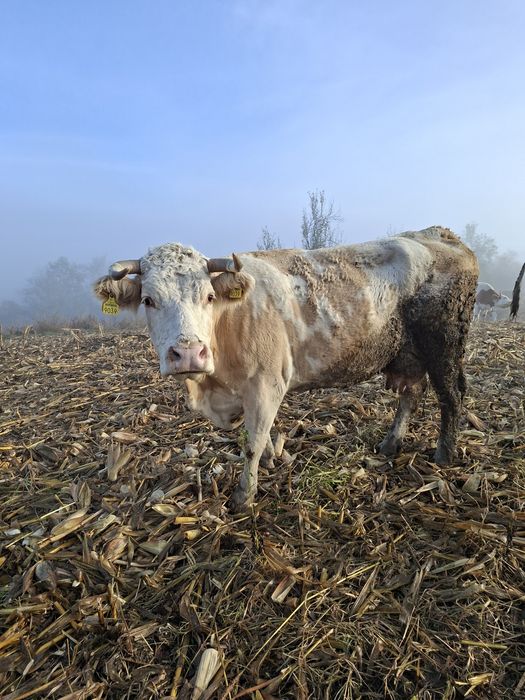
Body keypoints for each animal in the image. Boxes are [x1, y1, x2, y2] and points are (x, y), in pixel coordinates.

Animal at [94, 226, 478, 510]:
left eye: (208, 296)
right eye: (148, 300)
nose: (188, 353)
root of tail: (439, 234)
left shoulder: (267, 384)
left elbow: (253, 441)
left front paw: (244, 496)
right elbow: (258, 436)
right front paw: (270, 461)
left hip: (444, 345)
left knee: (452, 396)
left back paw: (444, 453)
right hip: (410, 353)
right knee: (412, 393)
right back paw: (390, 443)